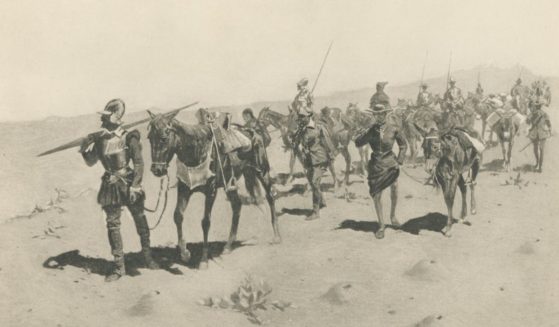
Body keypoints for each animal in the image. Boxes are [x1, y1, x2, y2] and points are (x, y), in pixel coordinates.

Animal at [147, 110, 282, 270]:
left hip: (262, 172)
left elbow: (206, 222)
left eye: (163, 138)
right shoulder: (184, 188)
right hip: (234, 181)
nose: (157, 170)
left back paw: (277, 236)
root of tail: (253, 132)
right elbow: (178, 215)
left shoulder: (211, 191)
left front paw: (204, 260)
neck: (197, 150)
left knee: (270, 197)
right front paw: (185, 253)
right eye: (149, 138)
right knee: (237, 206)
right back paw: (228, 246)